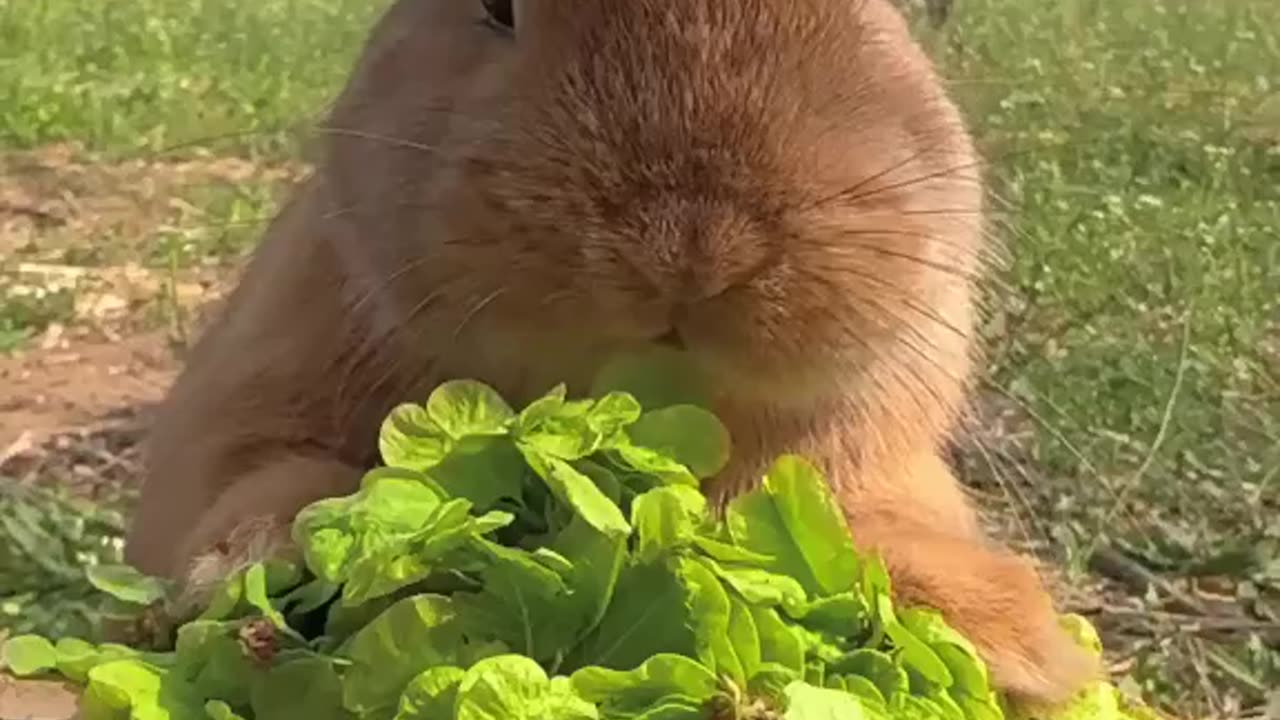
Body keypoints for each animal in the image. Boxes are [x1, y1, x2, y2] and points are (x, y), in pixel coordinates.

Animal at [124, 0, 1095, 702]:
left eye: (889, 15)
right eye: (494, 3)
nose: (695, 242)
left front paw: (1021, 645)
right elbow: (274, 480)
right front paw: (250, 566)